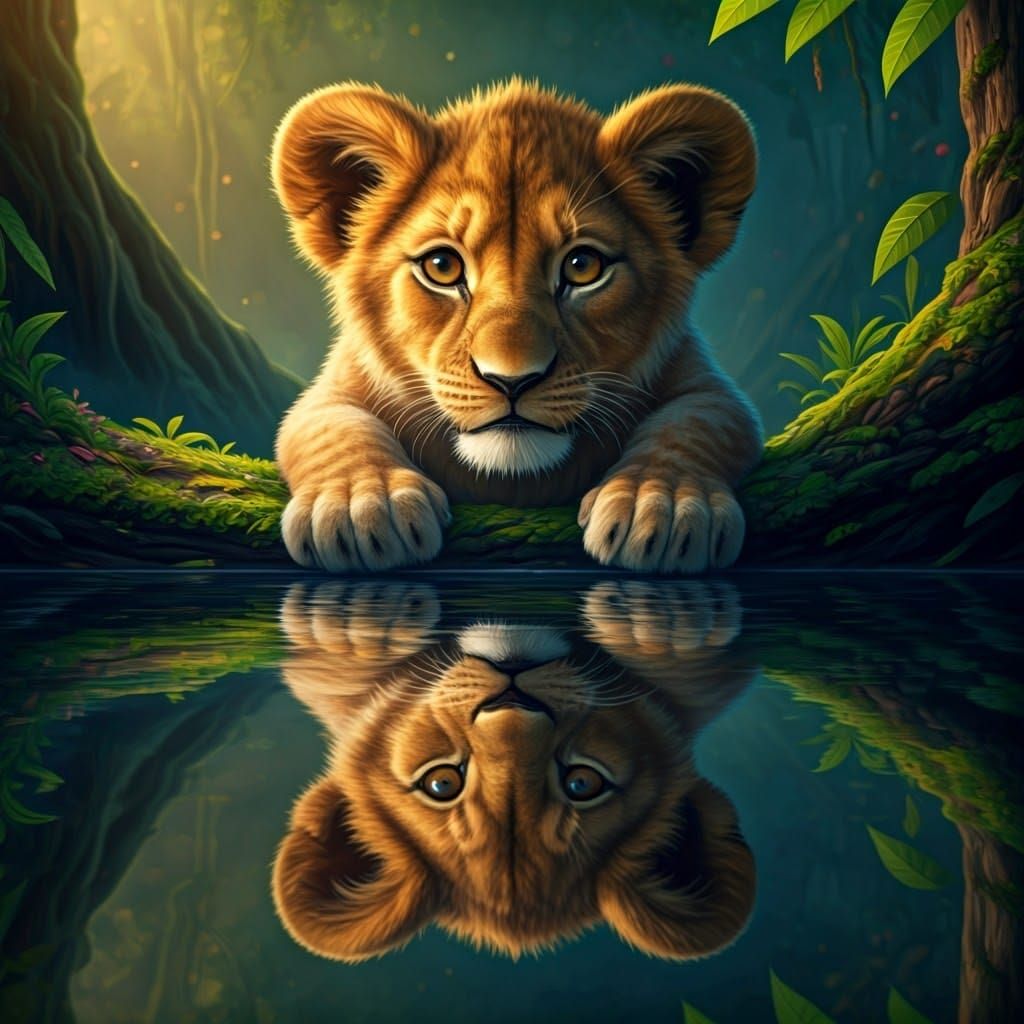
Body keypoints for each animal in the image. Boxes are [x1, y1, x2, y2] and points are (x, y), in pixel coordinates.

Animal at [271, 78, 763, 573]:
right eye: (442, 266)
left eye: (583, 266)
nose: (512, 380)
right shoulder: (337, 386)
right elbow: (332, 425)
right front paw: (361, 506)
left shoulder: (703, 383)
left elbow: (694, 423)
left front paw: (663, 505)